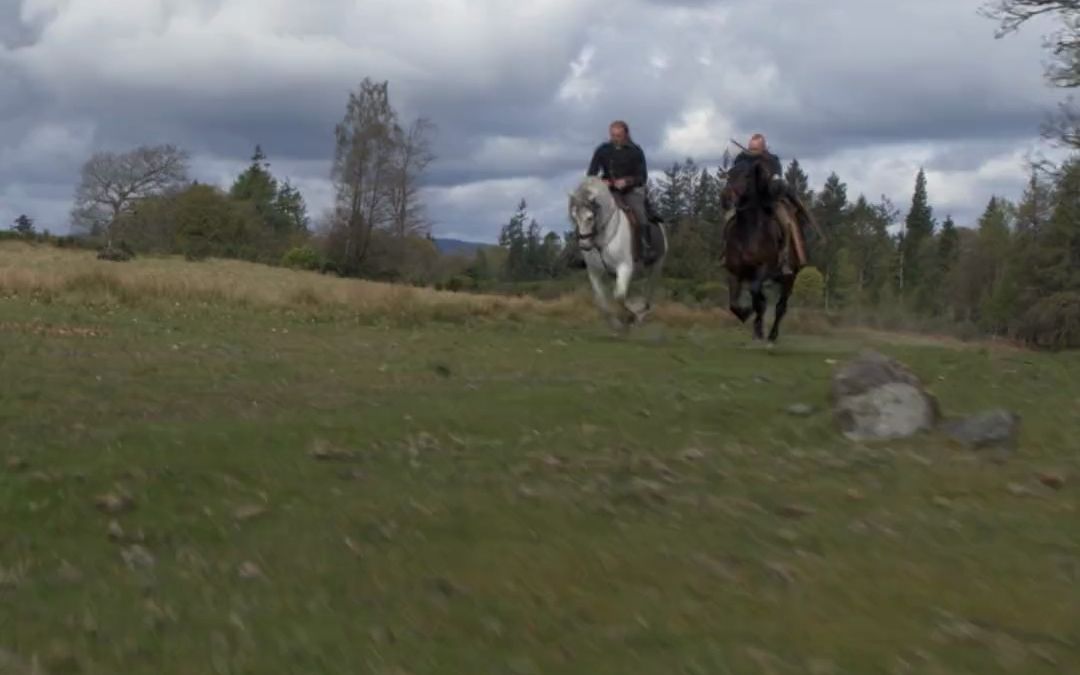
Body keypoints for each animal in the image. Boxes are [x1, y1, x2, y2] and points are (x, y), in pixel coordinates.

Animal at [565, 176, 665, 328]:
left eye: (590, 217)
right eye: (574, 217)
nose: (584, 245)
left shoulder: (624, 267)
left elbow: (619, 296)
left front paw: (633, 314)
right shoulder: (594, 272)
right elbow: (601, 301)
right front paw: (617, 323)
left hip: (657, 266)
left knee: (649, 293)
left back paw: (641, 313)